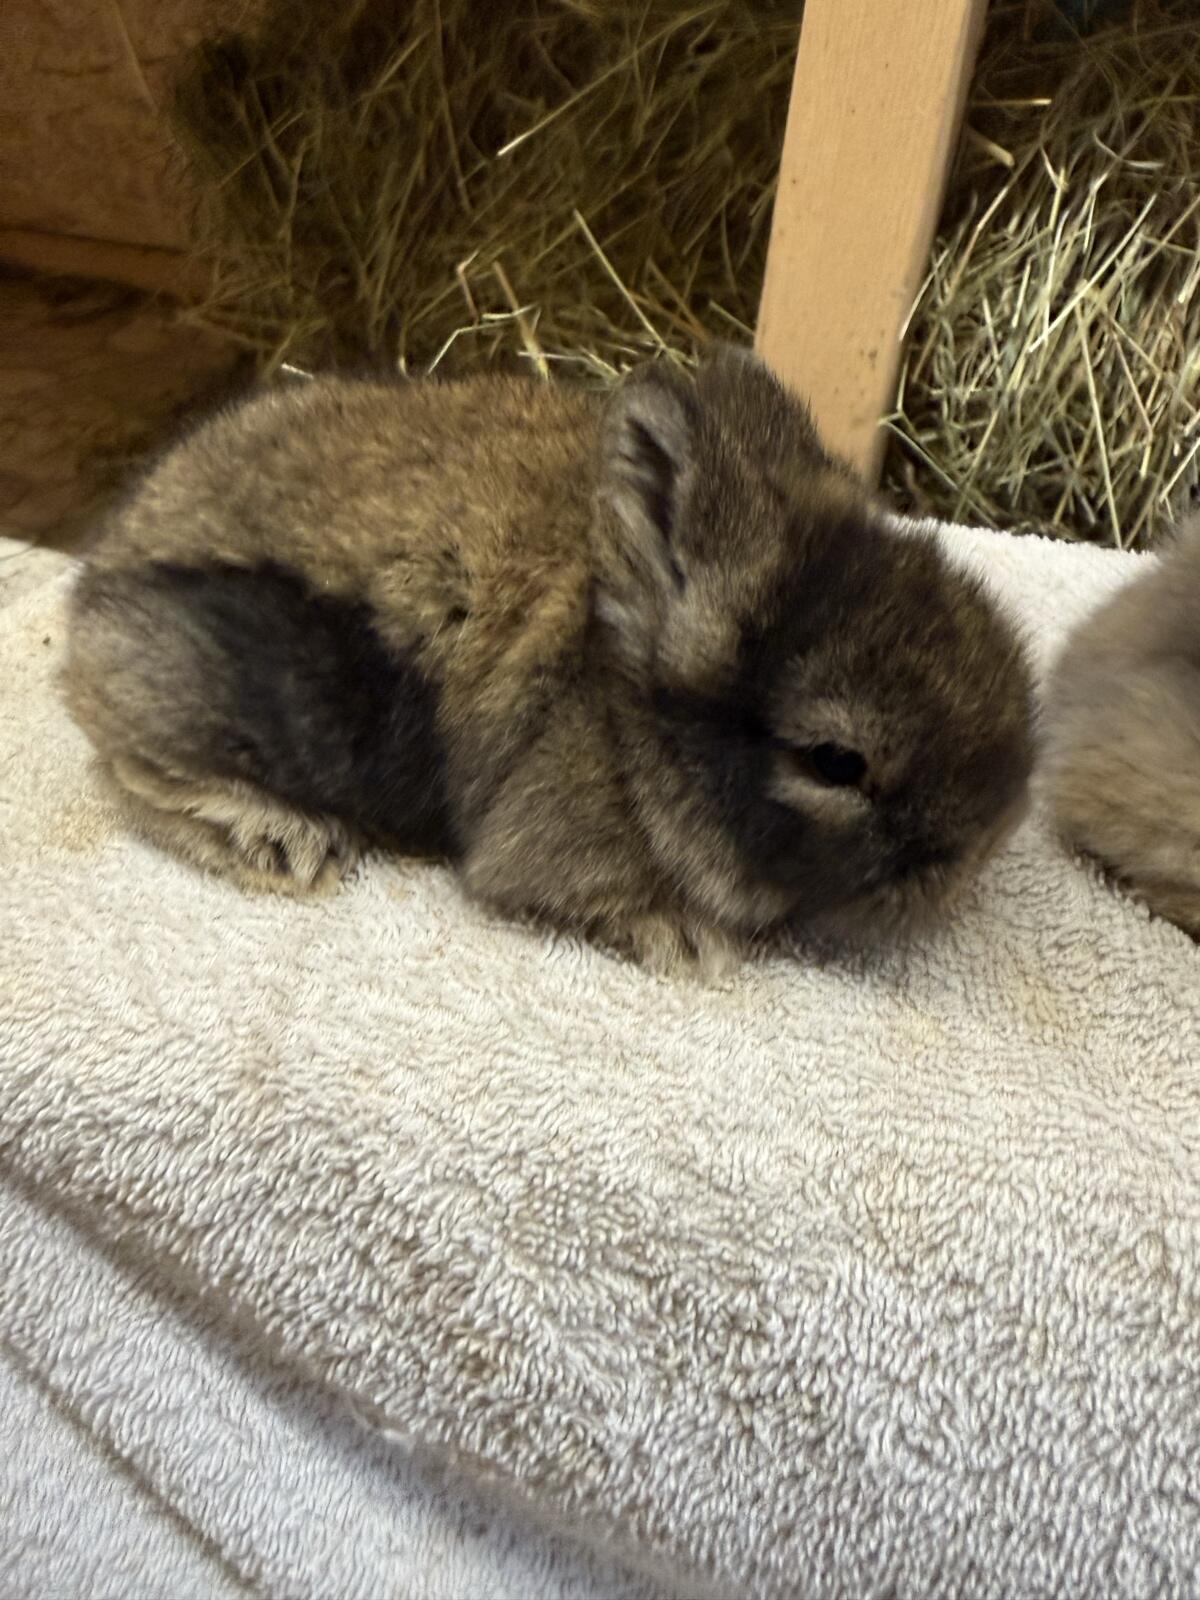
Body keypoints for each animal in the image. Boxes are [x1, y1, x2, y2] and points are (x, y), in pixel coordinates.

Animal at [63, 344, 1034, 976]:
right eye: (836, 762)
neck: (633, 719)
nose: (972, 857)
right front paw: (696, 946)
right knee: (131, 768)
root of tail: (95, 589)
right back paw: (282, 839)